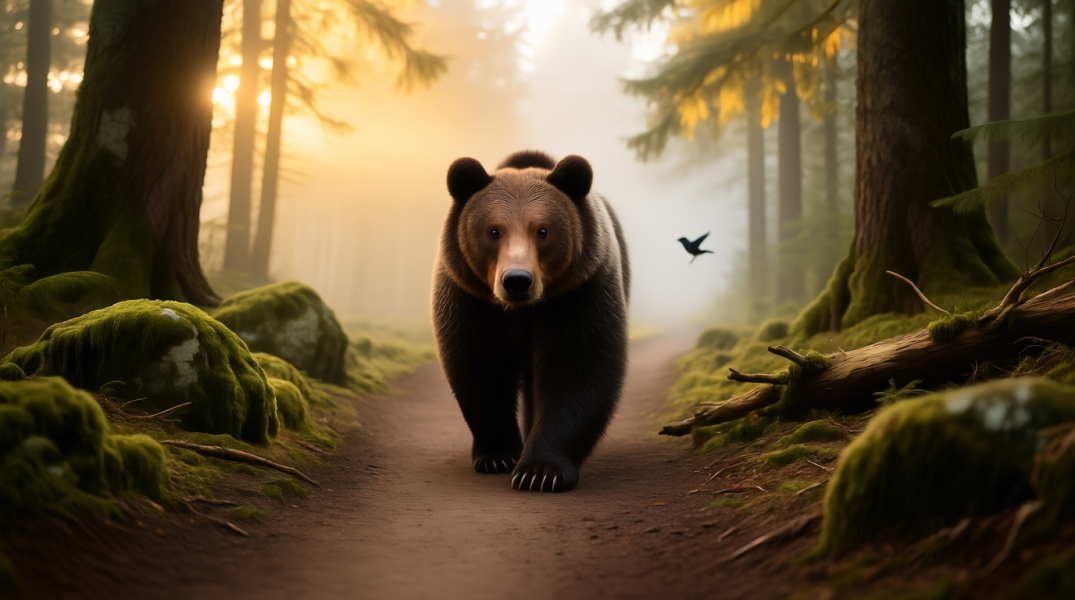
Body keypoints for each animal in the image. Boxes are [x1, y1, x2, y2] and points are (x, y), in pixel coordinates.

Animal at [431, 150, 630, 493]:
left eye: (543, 231)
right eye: (494, 231)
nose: (516, 280)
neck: (523, 309)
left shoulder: (578, 292)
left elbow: (578, 368)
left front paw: (540, 471)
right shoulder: (473, 298)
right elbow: (481, 366)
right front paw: (497, 455)